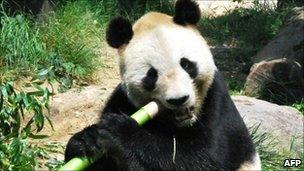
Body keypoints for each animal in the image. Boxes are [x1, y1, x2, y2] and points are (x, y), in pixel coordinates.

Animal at [64, 0, 262, 170]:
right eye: (151, 75)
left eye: (186, 64)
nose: (179, 100)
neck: (177, 124)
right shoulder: (122, 100)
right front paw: (86, 139)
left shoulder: (217, 102)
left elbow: (202, 156)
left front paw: (121, 131)